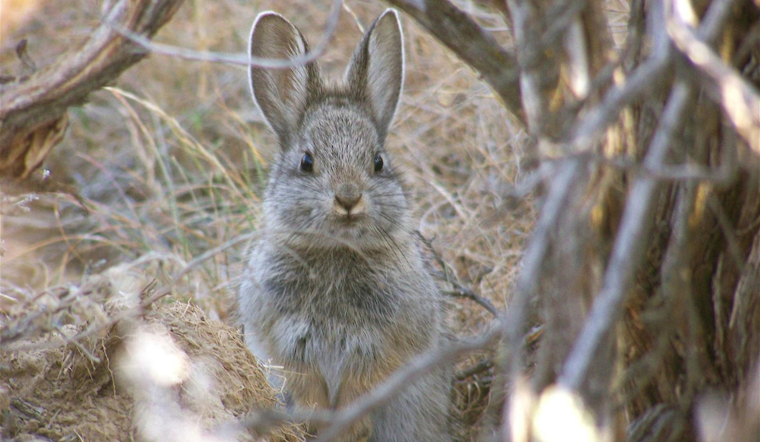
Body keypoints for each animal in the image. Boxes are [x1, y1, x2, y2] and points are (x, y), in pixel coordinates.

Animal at [238, 9, 452, 442]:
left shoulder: (385, 346)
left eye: (378, 162)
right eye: (307, 161)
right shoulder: (285, 344)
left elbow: (365, 388)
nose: (349, 198)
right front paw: (316, 423)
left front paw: (350, 429)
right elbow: (306, 387)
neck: (337, 249)